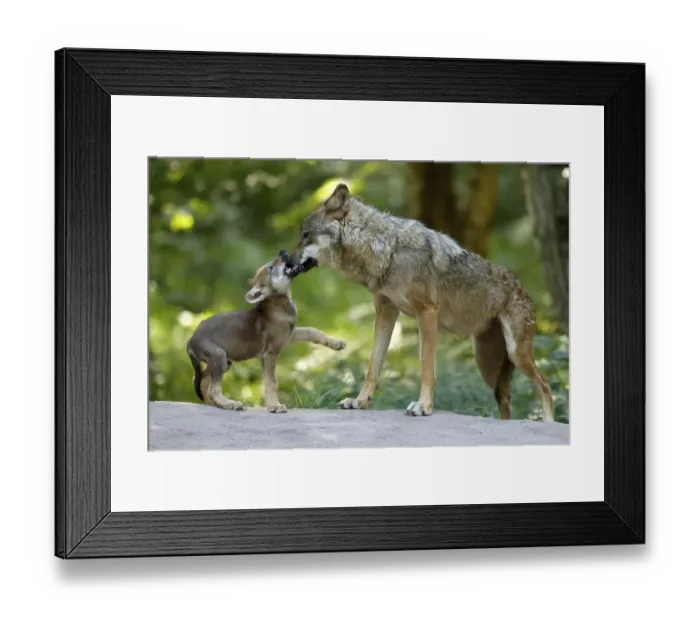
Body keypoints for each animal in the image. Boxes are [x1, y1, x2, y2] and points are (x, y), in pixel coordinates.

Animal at [186, 250, 346, 413]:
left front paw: (336, 343)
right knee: (213, 389)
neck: (279, 302)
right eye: (270, 267)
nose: (282, 251)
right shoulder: (269, 354)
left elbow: (312, 331)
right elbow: (271, 382)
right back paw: (230, 403)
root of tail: (190, 341)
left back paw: (213, 404)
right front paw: (274, 406)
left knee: (203, 382)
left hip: (224, 361)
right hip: (219, 356)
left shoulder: (289, 335)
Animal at [286, 183, 555, 421]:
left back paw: (547, 422)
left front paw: (423, 406)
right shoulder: (385, 312)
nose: (287, 261)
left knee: (545, 385)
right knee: (507, 402)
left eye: (305, 235)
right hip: (487, 365)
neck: (388, 251)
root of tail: (523, 288)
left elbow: (426, 368)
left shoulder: (427, 313)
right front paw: (360, 401)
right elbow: (373, 366)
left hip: (515, 354)